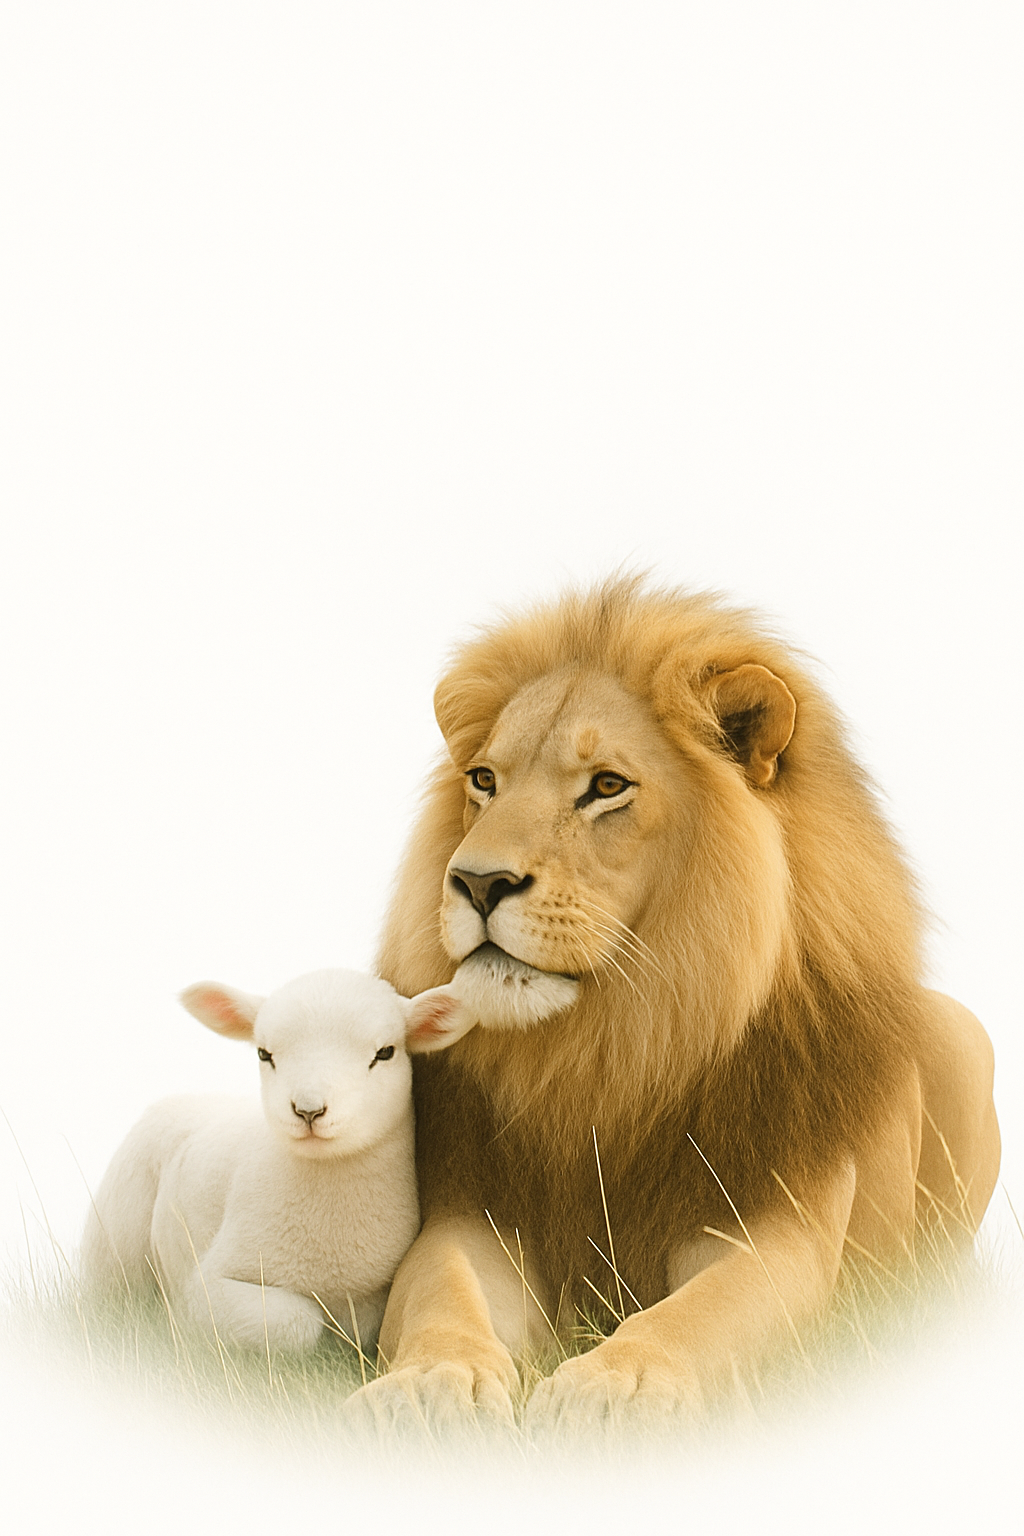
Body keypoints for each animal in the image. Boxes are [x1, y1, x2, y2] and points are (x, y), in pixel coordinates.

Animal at [80, 968, 474, 1354]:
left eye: (386, 1052)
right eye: (263, 1054)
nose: (308, 1110)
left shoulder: (375, 1297)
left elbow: (360, 1327)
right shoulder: (206, 1288)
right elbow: (300, 1322)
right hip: (117, 1243)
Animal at [343, 577, 1000, 1436]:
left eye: (606, 786)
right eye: (484, 781)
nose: (477, 882)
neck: (614, 1043)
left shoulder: (775, 1228)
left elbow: (699, 1313)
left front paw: (613, 1387)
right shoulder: (473, 1210)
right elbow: (443, 1295)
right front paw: (427, 1385)